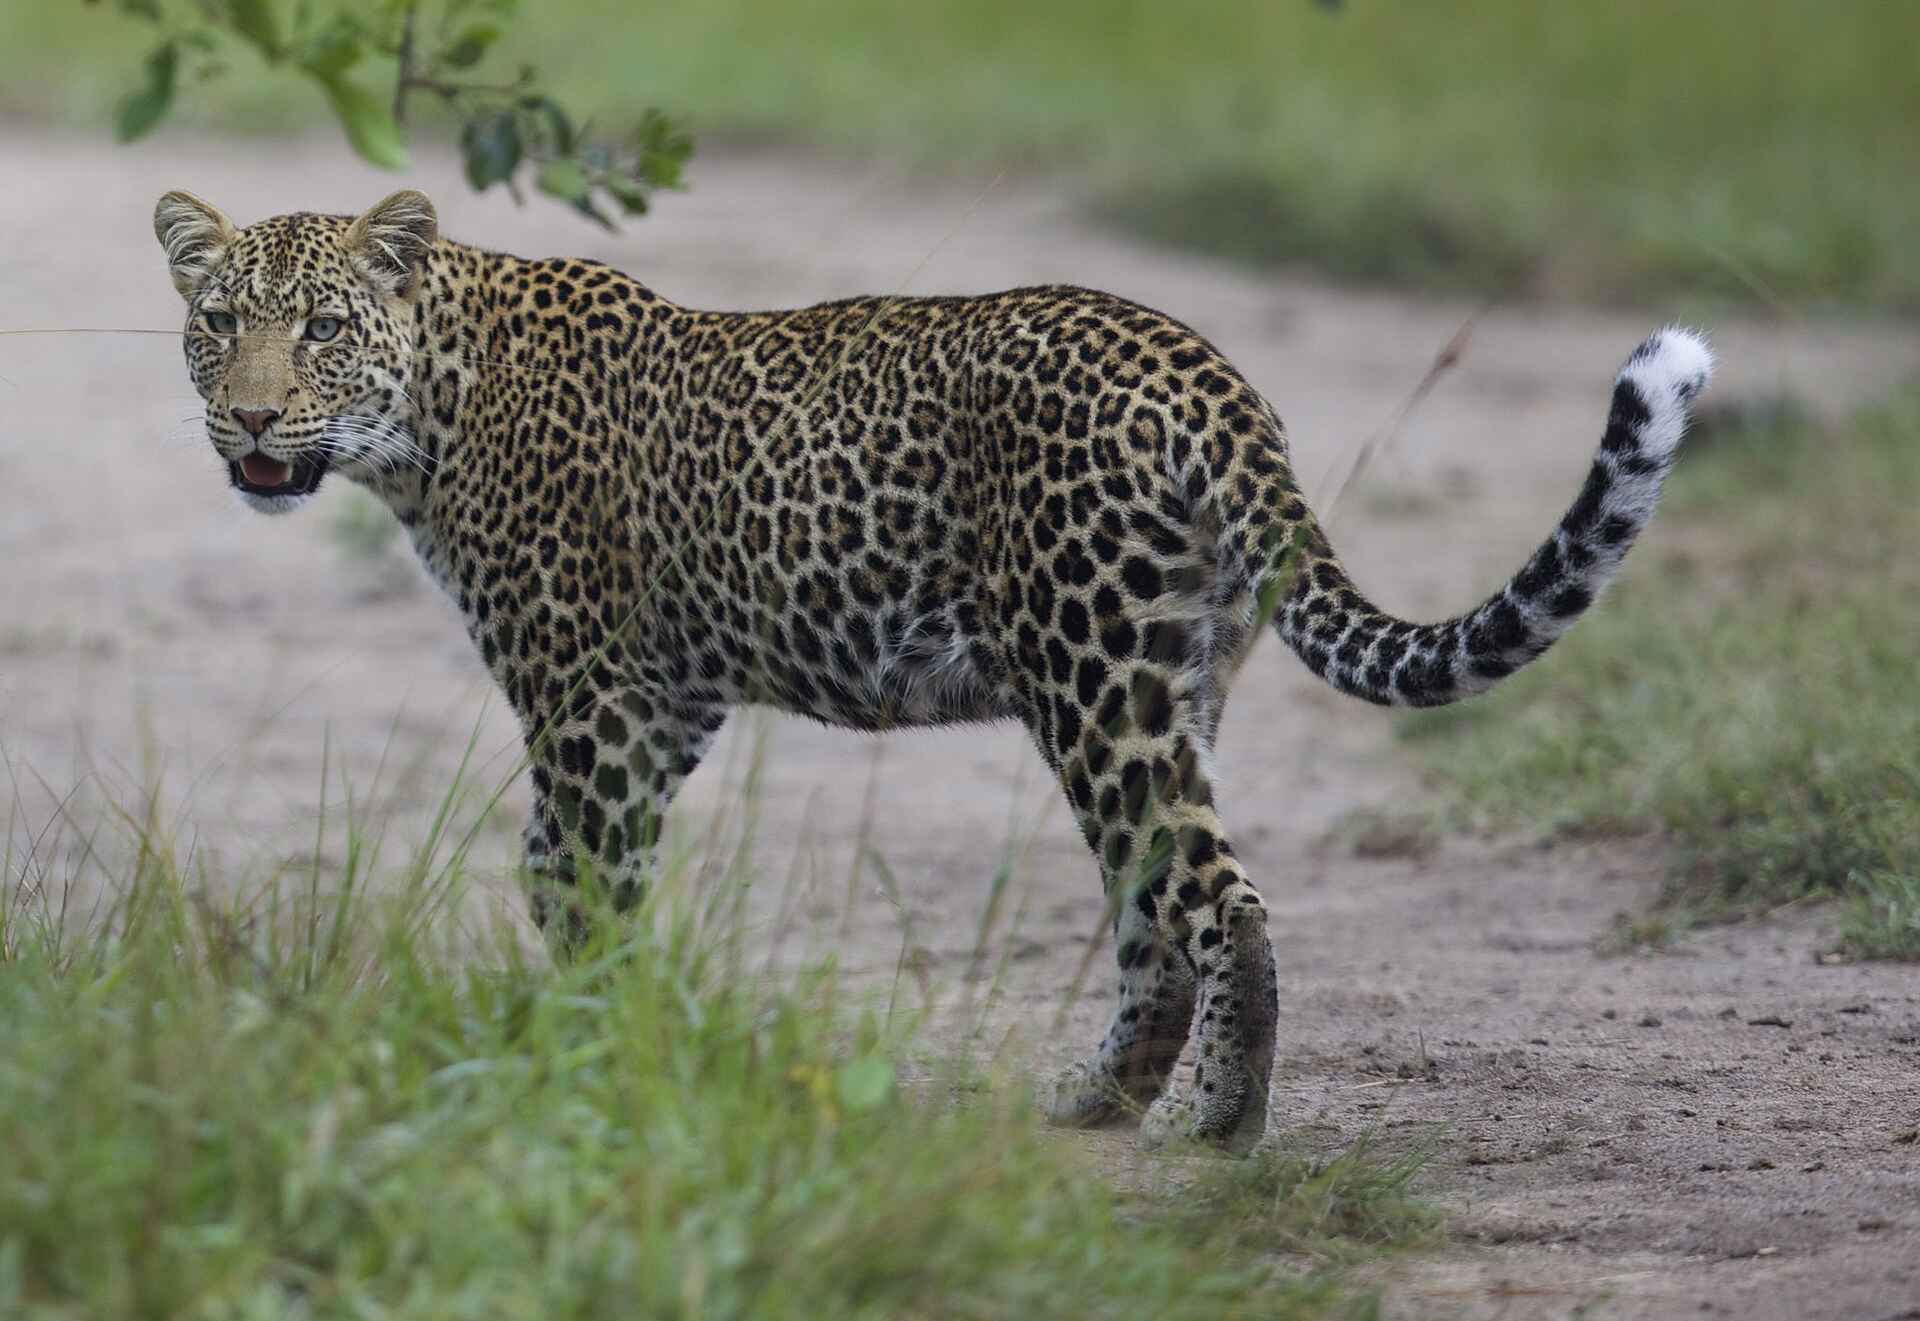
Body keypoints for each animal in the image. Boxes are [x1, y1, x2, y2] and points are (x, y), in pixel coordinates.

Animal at [154, 187, 1712, 1150]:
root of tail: (1203, 371)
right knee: (1151, 904)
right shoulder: (664, 704)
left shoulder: (590, 697)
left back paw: (1211, 1122)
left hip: (1095, 678)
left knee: (1218, 896)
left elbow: (580, 879)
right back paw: (1101, 1098)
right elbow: (561, 875)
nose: (251, 419)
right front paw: (616, 1034)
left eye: (324, 328)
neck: (430, 411)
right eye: (220, 323)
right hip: (1176, 680)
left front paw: (588, 1056)